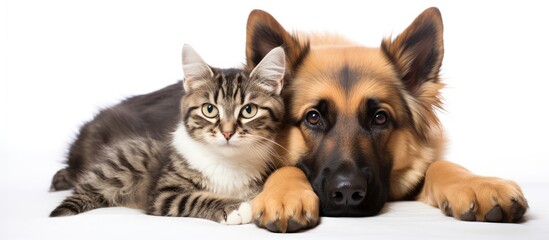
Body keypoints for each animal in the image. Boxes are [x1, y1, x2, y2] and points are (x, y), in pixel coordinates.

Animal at [49, 43, 286, 225]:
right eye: (209, 109)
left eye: (249, 110)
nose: (227, 132)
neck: (227, 163)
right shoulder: (162, 193)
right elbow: (195, 198)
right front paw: (233, 208)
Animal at [244, 7, 528, 232]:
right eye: (313, 117)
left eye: (380, 118)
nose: (347, 192)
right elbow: (284, 167)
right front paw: (285, 194)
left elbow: (441, 164)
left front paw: (479, 184)